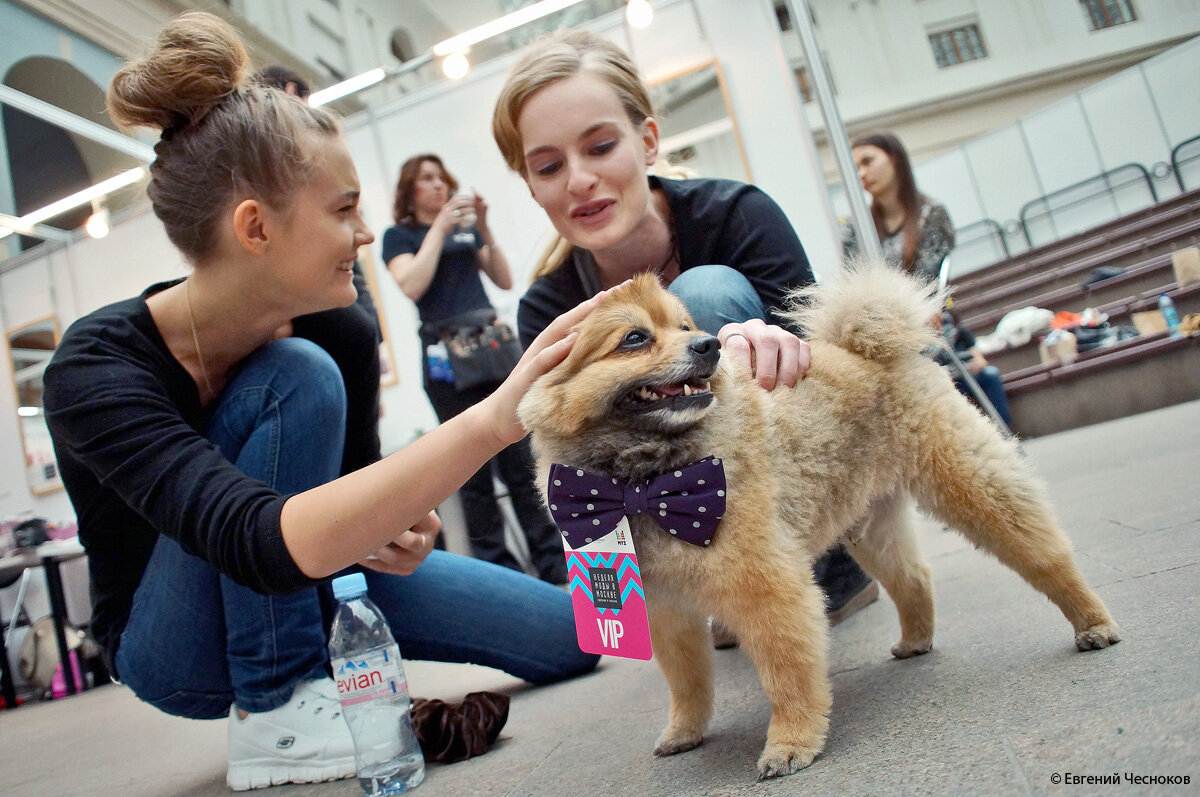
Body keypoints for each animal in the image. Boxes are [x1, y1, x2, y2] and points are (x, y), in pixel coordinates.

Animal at [518, 260, 1123, 777]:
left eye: (685, 326)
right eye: (635, 339)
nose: (709, 344)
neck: (642, 484)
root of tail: (866, 348)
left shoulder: (767, 584)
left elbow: (788, 674)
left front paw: (791, 744)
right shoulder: (666, 608)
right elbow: (687, 681)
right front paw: (685, 731)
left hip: (971, 482)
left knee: (1044, 551)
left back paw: (1091, 622)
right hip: (872, 526)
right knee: (913, 577)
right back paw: (915, 639)